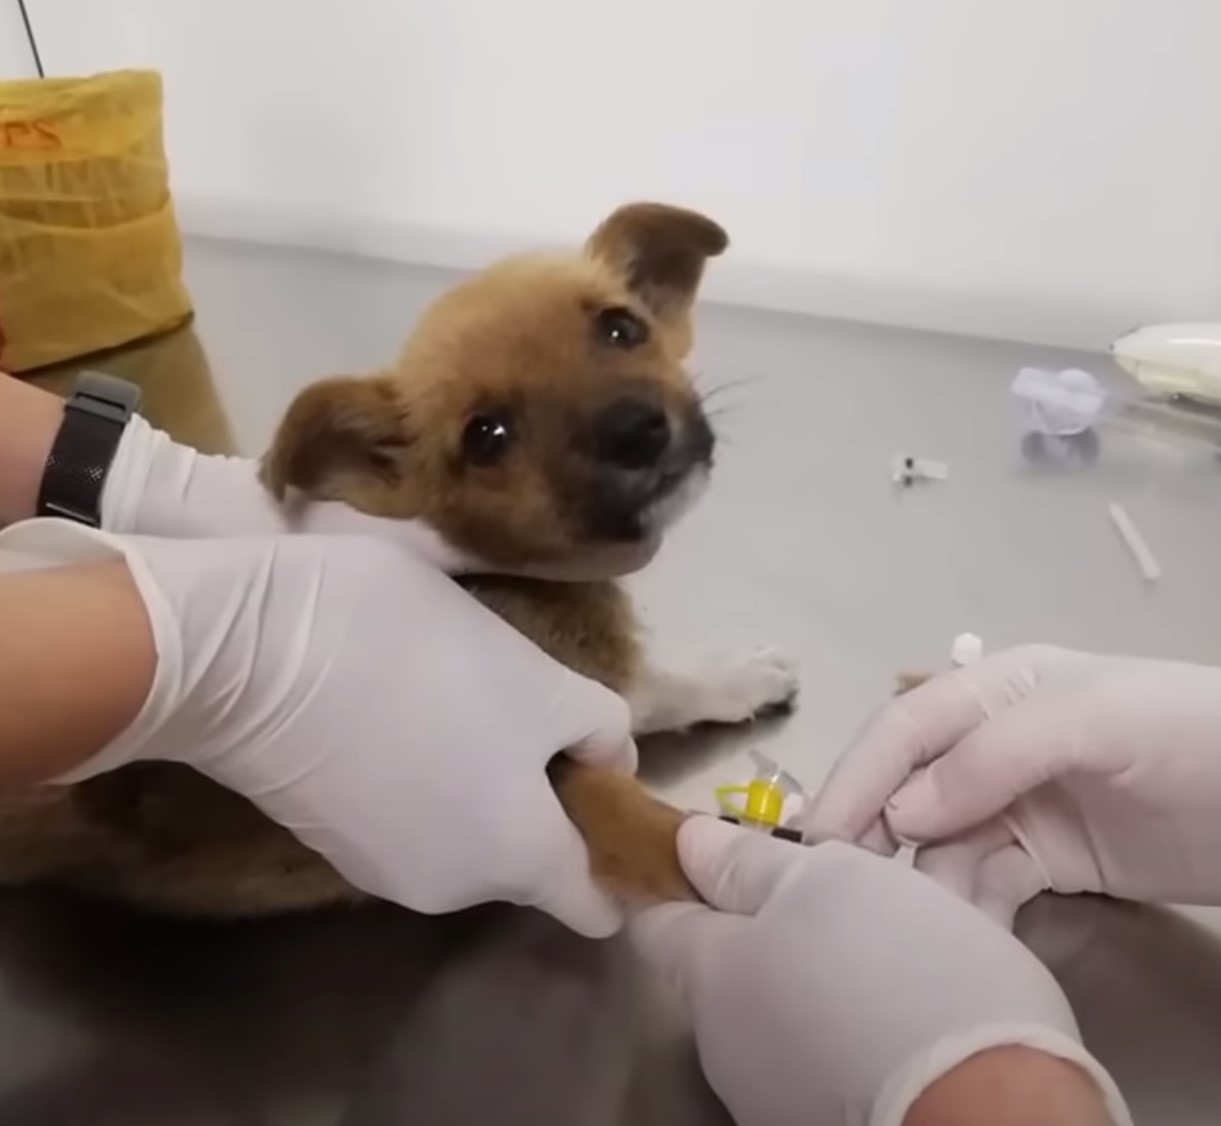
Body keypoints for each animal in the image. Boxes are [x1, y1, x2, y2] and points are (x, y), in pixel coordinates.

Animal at [0, 203, 796, 913]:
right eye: (487, 435)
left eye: (621, 327)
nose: (635, 430)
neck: (511, 580)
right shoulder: (559, 778)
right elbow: (671, 845)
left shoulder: (599, 696)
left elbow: (662, 688)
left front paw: (735, 677)